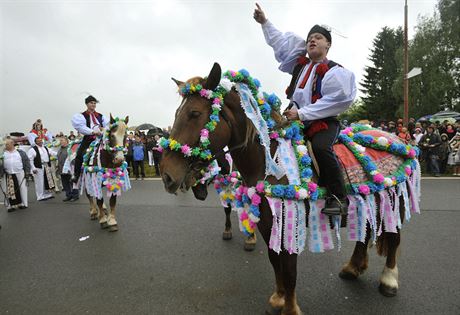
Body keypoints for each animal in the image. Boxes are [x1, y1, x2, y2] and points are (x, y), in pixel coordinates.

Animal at [163, 63, 416, 314]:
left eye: (195, 113)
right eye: (176, 114)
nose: (167, 175)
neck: (270, 162)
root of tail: (395, 139)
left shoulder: (288, 220)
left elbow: (290, 270)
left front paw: (290, 308)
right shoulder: (267, 223)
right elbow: (275, 261)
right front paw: (278, 298)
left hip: (396, 201)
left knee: (394, 238)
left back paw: (389, 280)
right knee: (365, 232)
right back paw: (353, 268)